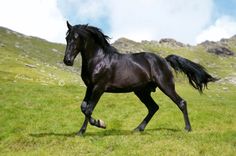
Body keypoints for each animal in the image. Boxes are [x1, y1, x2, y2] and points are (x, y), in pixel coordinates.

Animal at [63, 21, 218, 135]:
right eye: (67, 38)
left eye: (76, 38)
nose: (67, 61)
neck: (99, 60)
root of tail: (164, 60)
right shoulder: (90, 87)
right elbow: (83, 107)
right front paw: (85, 129)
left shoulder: (98, 88)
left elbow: (89, 109)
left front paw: (99, 125)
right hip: (141, 91)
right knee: (153, 107)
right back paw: (138, 128)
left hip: (165, 86)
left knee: (181, 103)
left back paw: (187, 128)